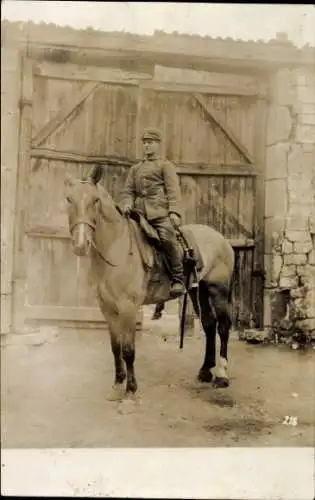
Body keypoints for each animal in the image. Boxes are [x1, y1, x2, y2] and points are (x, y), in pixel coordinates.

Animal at [65, 166, 236, 400]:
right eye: (69, 199)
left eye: (95, 201)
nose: (81, 245)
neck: (117, 248)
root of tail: (222, 239)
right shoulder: (107, 309)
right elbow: (115, 347)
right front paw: (117, 384)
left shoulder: (128, 308)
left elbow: (128, 350)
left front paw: (130, 389)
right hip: (198, 290)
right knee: (209, 325)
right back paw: (204, 371)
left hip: (218, 289)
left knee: (223, 327)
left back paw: (222, 375)